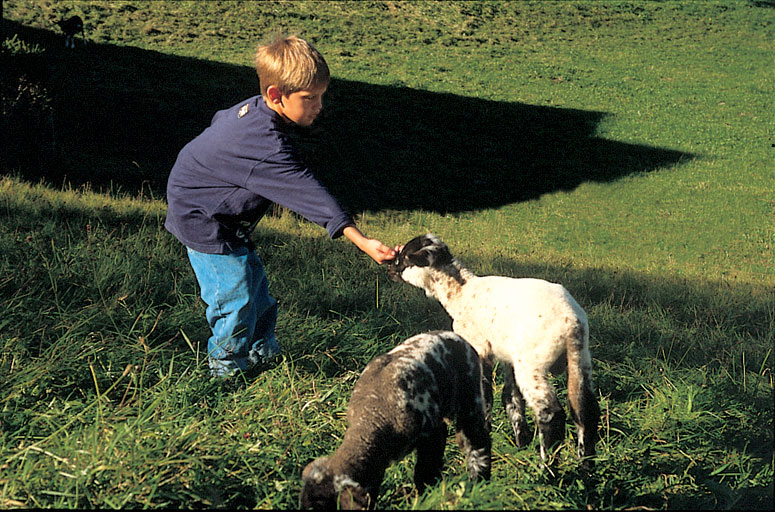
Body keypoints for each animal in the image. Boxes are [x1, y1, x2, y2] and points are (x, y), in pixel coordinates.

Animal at [298, 330, 488, 510]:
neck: (373, 416)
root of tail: (456, 336)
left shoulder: (432, 432)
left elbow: (426, 471)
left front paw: (426, 497)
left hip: (470, 396)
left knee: (476, 441)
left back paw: (480, 483)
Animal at [388, 234, 600, 466]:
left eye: (403, 258)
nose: (389, 268)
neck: (461, 293)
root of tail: (571, 321)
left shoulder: (479, 349)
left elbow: (485, 395)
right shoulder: (508, 357)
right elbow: (511, 398)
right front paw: (521, 441)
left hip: (532, 363)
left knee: (551, 413)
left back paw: (547, 467)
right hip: (580, 359)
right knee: (586, 410)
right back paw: (585, 466)